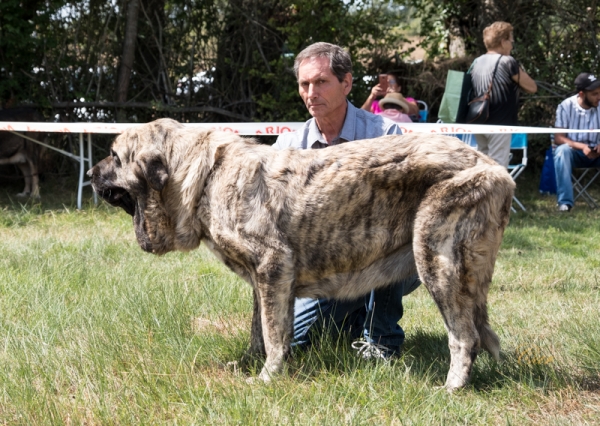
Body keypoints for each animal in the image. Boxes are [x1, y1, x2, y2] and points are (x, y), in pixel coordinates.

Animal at [88, 118, 516, 392]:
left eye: (114, 155)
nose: (91, 174)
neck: (207, 176)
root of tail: (497, 170)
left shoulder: (273, 266)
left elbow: (275, 334)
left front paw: (267, 378)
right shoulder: (264, 282)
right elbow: (260, 329)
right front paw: (249, 363)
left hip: (436, 259)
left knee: (464, 337)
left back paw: (452, 387)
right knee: (480, 331)